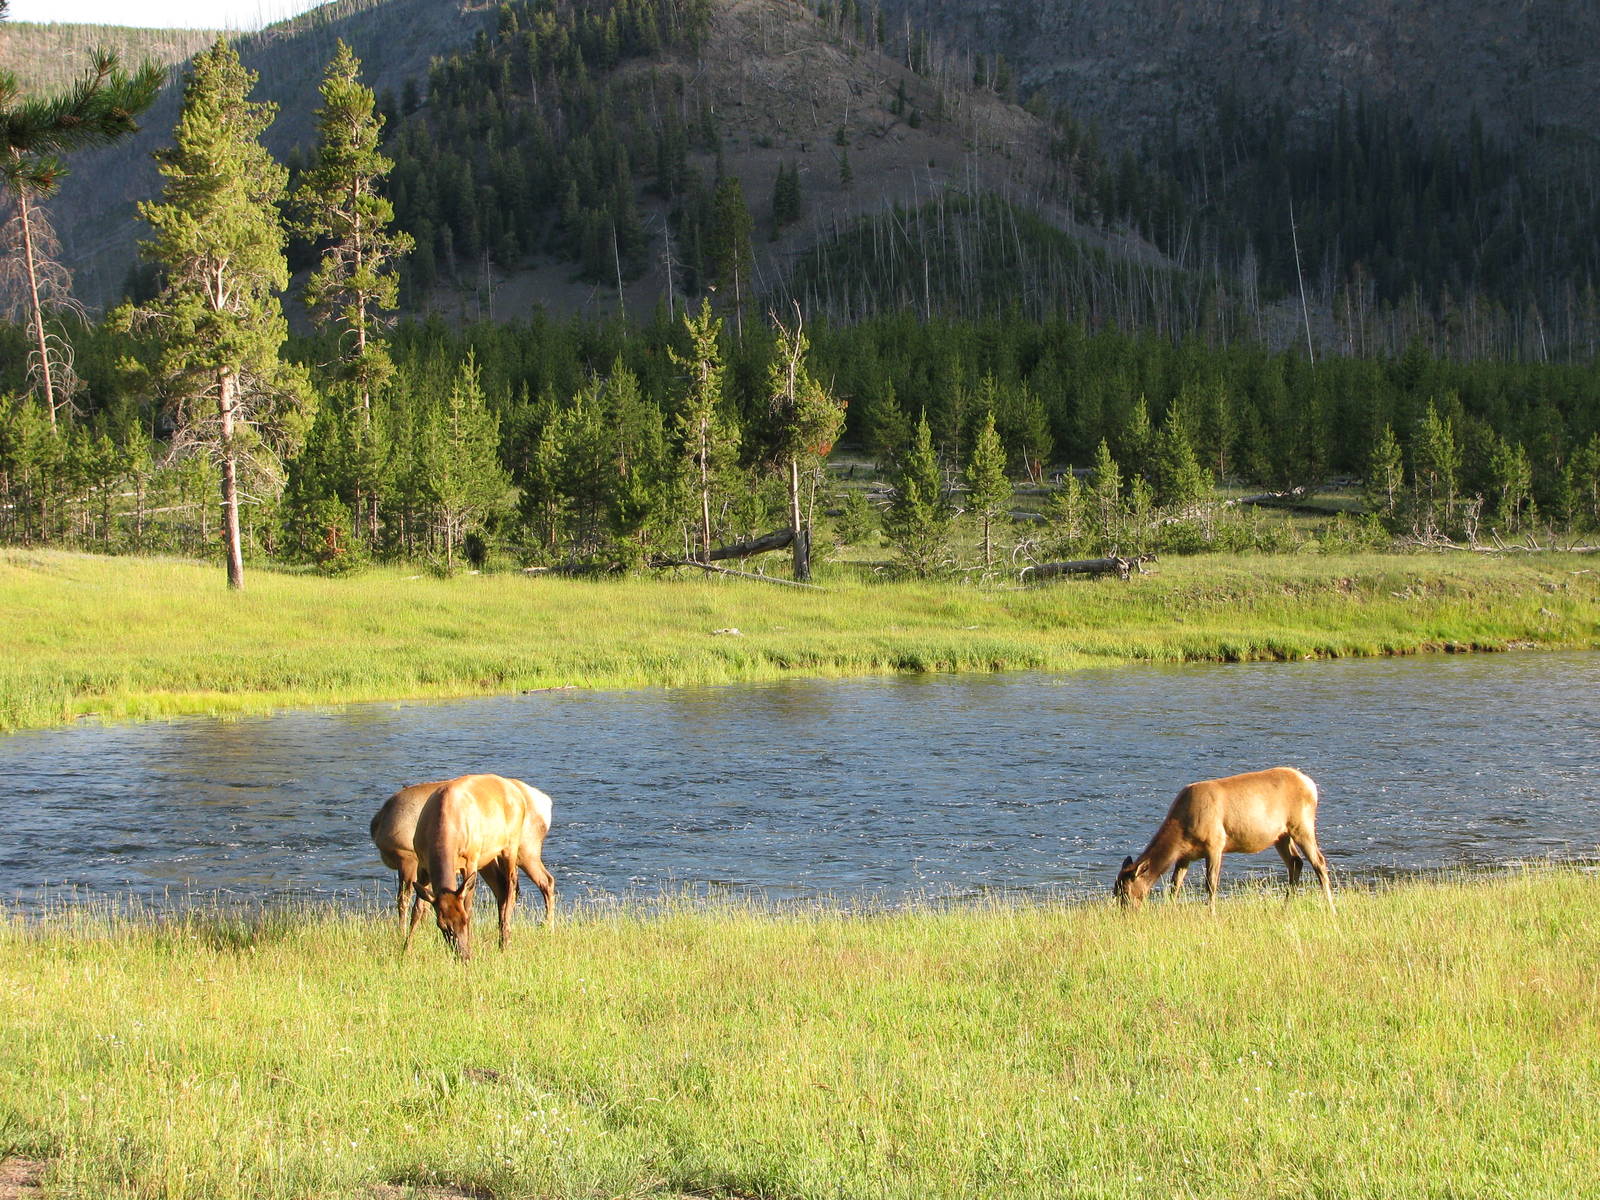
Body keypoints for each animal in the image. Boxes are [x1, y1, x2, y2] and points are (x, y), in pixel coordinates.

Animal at [1113, 767, 1335, 913]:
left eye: (1125, 892)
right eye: (1116, 890)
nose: (1124, 913)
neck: (1182, 829)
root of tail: (1311, 785)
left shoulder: (1215, 843)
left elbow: (1211, 884)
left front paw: (1211, 913)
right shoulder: (1185, 855)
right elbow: (1175, 885)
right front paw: (1170, 910)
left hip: (1302, 825)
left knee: (1319, 862)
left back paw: (1330, 908)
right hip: (1281, 835)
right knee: (1296, 862)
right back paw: (1285, 907)